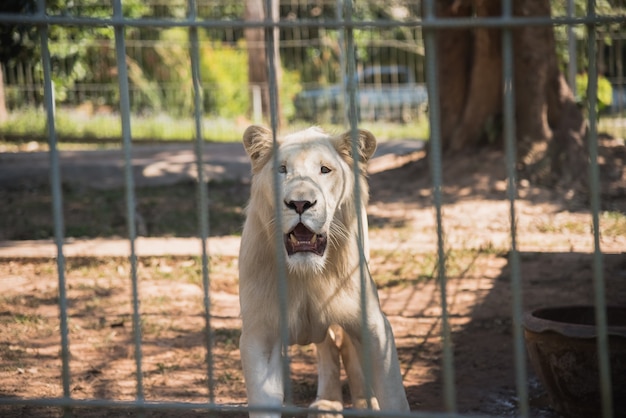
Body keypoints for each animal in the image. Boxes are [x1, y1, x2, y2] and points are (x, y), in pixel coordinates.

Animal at [236, 126, 408, 418]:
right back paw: (326, 403)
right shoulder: (260, 334)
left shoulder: (375, 326)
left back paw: (364, 402)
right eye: (282, 169)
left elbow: (394, 397)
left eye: (325, 170)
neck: (307, 275)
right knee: (327, 346)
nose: (299, 204)